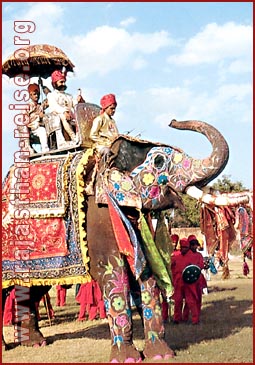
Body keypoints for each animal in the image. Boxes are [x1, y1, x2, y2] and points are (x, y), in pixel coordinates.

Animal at [0, 116, 247, 362]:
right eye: (159, 161)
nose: (173, 121)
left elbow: (146, 275)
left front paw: (161, 354)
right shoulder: (98, 217)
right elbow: (114, 274)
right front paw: (128, 358)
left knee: (32, 288)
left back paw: (35, 342)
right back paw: (8, 347)